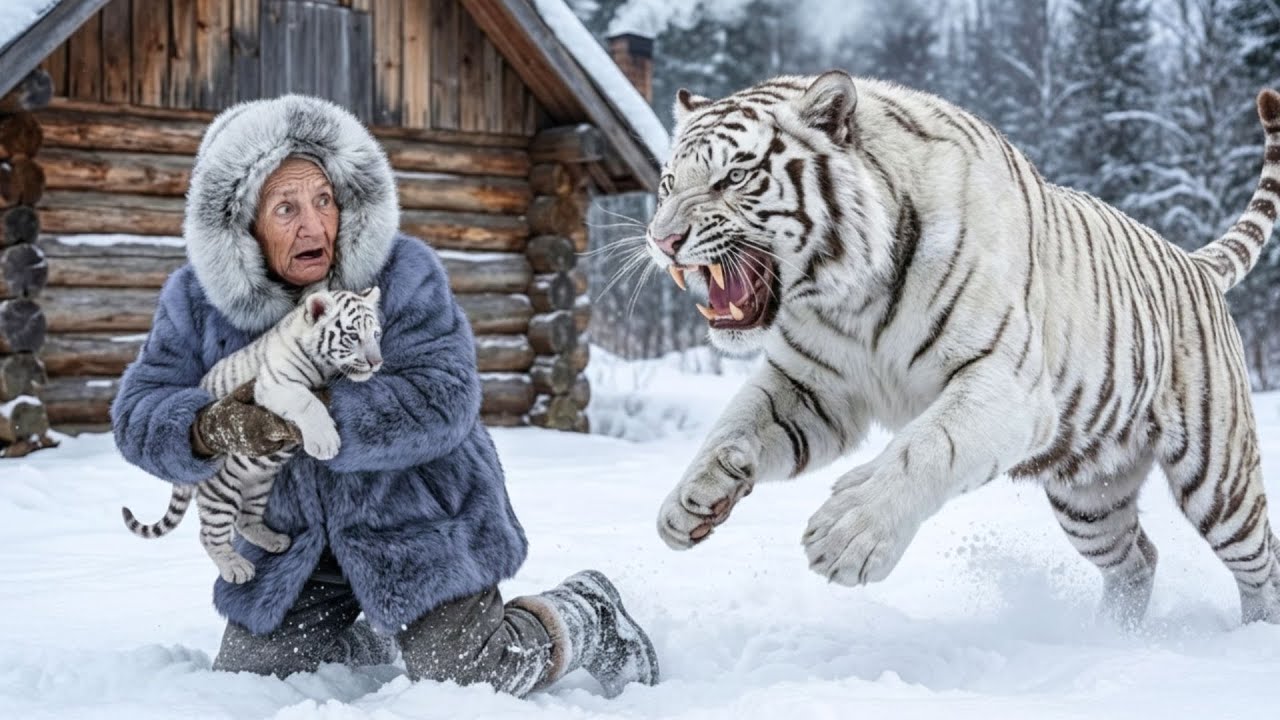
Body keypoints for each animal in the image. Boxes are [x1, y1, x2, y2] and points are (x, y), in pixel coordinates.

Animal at [122, 288, 383, 583]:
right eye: (353, 336)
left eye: (376, 334)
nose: (376, 363)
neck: (323, 369)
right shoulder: (275, 385)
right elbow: (308, 401)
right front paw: (325, 443)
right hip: (219, 492)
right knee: (209, 534)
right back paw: (236, 568)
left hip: (258, 484)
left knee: (245, 521)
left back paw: (275, 541)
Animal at [644, 70, 1280, 626]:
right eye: (669, 183)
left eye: (734, 177)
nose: (662, 239)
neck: (848, 295)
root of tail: (1194, 260)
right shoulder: (814, 386)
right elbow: (735, 425)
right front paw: (688, 503)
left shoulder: (1006, 383)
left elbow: (927, 447)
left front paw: (847, 535)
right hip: (1090, 494)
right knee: (1136, 561)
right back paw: (1113, 637)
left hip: (1218, 479)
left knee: (1261, 561)